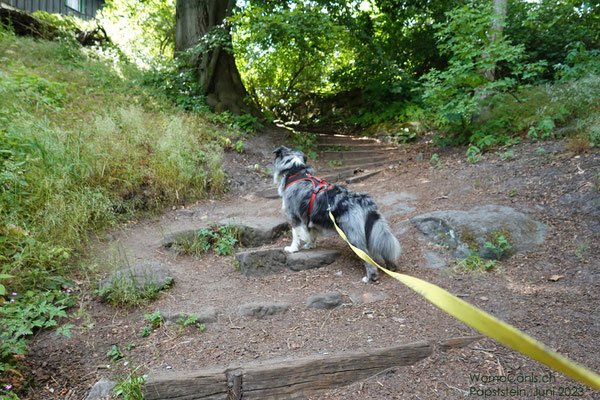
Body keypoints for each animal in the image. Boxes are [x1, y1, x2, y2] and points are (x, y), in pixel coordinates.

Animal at [274, 145, 400, 282]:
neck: (295, 170)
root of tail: (362, 200)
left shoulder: (294, 216)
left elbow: (295, 235)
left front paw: (292, 249)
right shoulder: (309, 217)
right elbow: (311, 233)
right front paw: (310, 245)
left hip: (352, 235)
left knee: (366, 256)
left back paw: (370, 277)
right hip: (374, 229)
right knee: (384, 246)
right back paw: (391, 267)